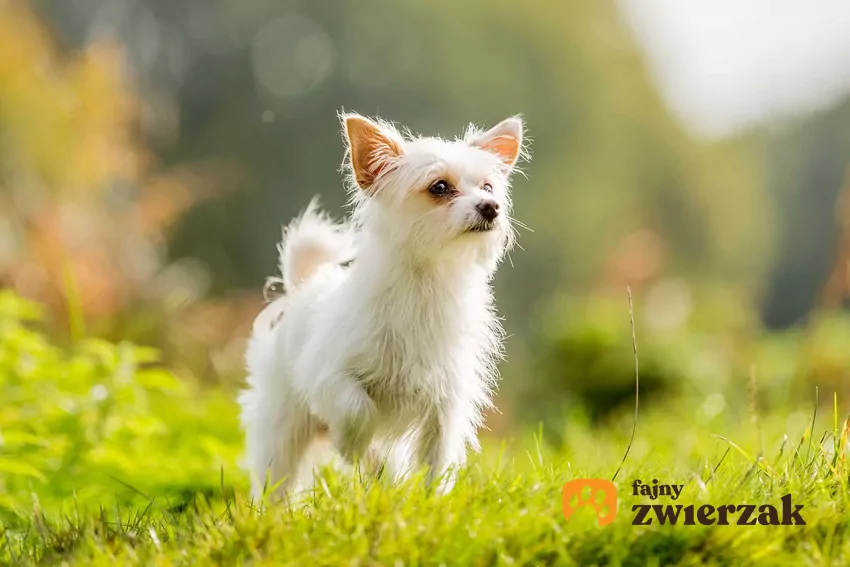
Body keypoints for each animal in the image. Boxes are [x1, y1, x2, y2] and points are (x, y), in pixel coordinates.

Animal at [238, 112, 528, 496]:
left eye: (488, 188)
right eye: (439, 187)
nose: (491, 207)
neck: (425, 284)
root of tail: (303, 285)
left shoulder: (445, 405)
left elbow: (437, 461)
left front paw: (432, 503)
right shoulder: (327, 376)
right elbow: (356, 407)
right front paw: (351, 446)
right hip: (282, 429)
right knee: (277, 483)